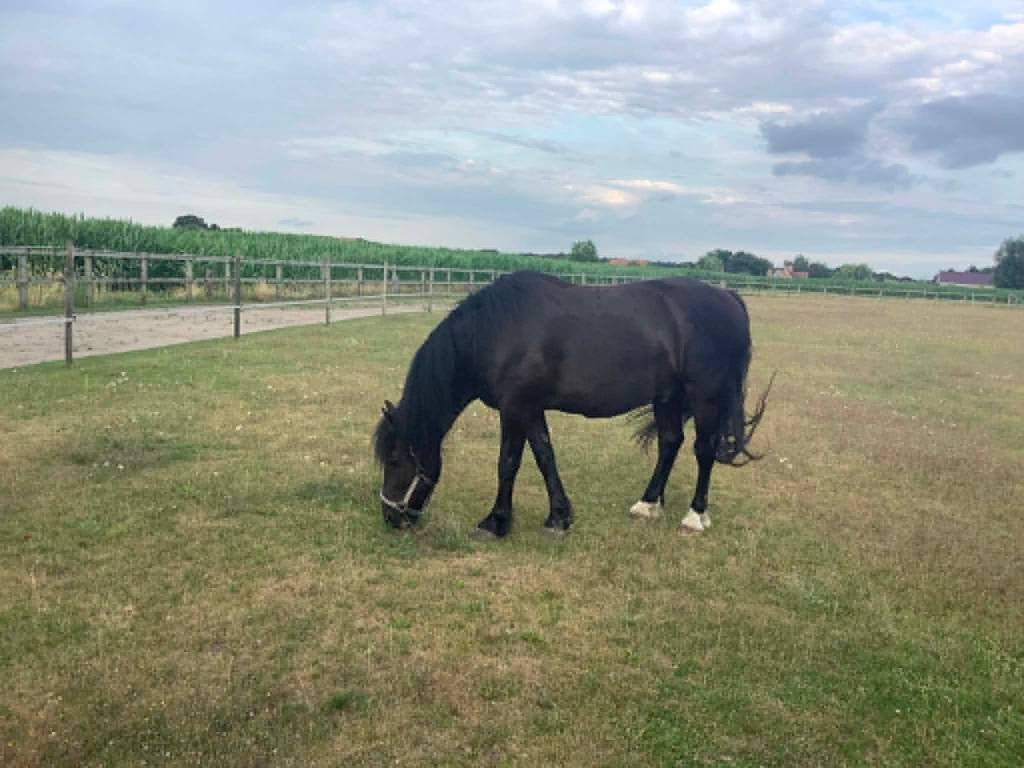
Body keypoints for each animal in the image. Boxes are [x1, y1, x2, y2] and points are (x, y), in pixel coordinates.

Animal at [373, 270, 770, 537]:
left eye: (394, 459)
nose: (391, 517)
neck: (494, 330)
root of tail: (728, 297)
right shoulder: (531, 409)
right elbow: (545, 457)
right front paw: (559, 517)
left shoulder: (514, 408)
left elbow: (508, 464)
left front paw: (496, 521)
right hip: (668, 396)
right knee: (670, 443)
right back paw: (647, 505)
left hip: (704, 395)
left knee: (703, 451)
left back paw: (695, 516)